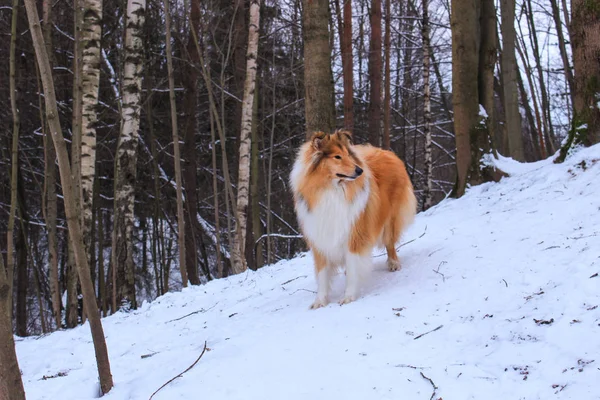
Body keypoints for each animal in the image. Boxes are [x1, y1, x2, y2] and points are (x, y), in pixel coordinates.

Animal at [288, 130, 414, 308]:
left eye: (348, 155)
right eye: (337, 157)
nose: (360, 170)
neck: (331, 189)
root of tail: (386, 152)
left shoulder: (354, 235)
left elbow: (354, 268)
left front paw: (348, 297)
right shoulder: (320, 239)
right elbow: (322, 275)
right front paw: (320, 302)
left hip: (391, 219)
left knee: (390, 242)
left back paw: (393, 263)